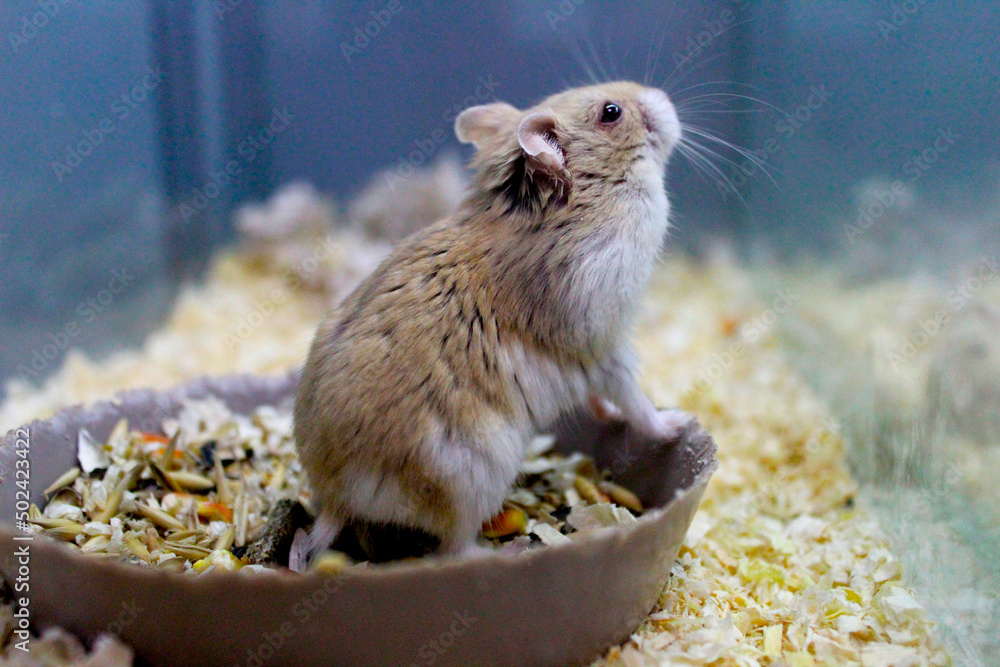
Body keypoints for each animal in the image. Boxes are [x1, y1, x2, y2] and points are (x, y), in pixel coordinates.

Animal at [291, 81, 691, 569]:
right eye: (611, 112)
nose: (663, 97)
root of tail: (337, 499)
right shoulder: (604, 344)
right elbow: (636, 402)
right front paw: (679, 422)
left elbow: (607, 402)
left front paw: (610, 416)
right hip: (470, 480)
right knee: (453, 550)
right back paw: (512, 550)